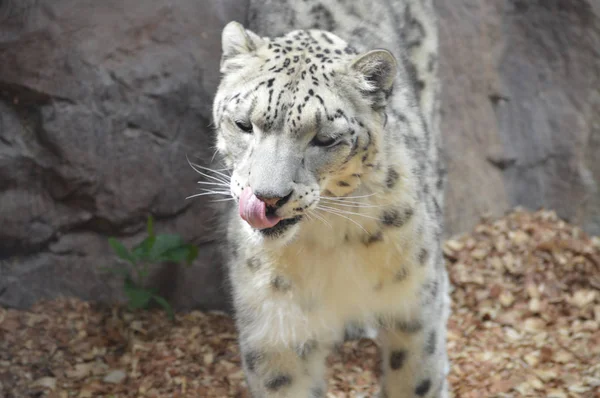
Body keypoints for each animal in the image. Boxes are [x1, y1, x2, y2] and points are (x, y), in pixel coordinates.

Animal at [209, 1, 448, 396]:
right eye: (243, 124)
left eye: (324, 138)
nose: (267, 198)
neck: (328, 239)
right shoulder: (274, 330)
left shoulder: (413, 309)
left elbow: (415, 379)